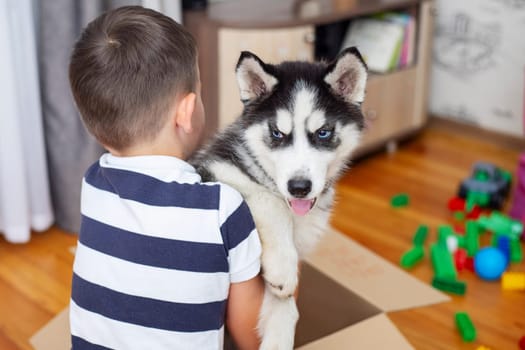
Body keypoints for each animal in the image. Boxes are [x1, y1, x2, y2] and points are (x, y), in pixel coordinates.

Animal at [190, 47, 366, 350]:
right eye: (277, 133)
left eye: (323, 132)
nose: (299, 188)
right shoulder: (213, 169)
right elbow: (270, 202)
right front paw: (283, 266)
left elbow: (285, 301)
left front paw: (279, 333)